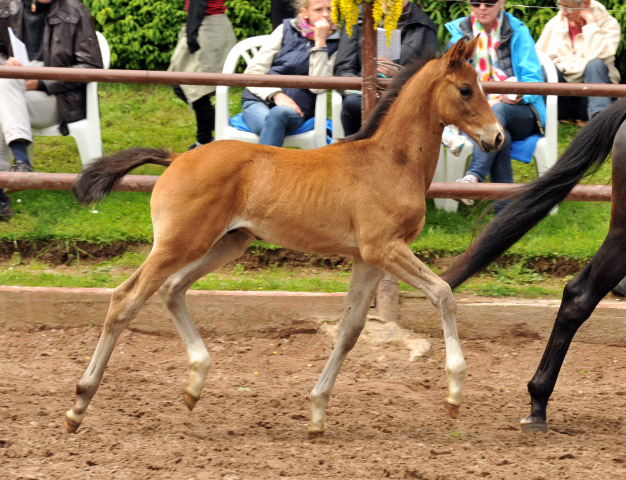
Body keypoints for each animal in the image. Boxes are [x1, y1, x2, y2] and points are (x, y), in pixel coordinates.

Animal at [64, 37, 502, 436]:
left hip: (227, 242)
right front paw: (454, 394)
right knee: (126, 299)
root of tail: (178, 158)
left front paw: (317, 412)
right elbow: (443, 292)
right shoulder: (384, 249)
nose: (497, 137)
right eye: (466, 89)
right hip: (178, 244)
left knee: (171, 289)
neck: (390, 161)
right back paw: (79, 404)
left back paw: (195, 383)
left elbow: (350, 330)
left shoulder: (368, 258)